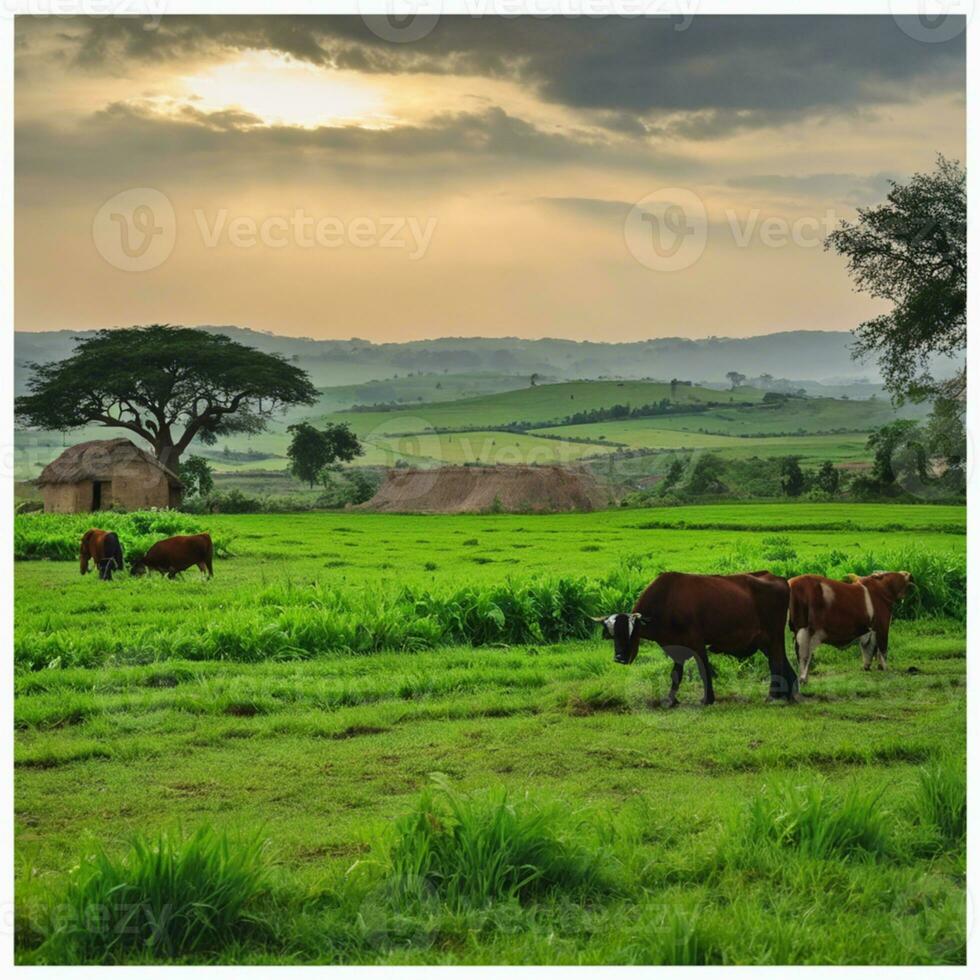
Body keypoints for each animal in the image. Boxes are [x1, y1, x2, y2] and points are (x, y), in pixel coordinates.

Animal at [588, 572, 796, 708]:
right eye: (613, 634)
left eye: (631, 632)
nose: (620, 658)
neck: (666, 602)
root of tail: (779, 579)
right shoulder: (676, 647)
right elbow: (675, 675)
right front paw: (670, 700)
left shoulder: (697, 643)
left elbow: (704, 670)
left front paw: (708, 699)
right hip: (765, 641)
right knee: (783, 664)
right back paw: (790, 694)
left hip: (773, 636)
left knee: (776, 663)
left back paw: (774, 696)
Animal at [784, 572, 916, 684]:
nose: (910, 575)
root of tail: (791, 582)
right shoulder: (882, 626)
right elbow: (882, 651)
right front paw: (885, 669)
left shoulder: (869, 631)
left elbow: (868, 650)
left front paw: (868, 667)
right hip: (804, 631)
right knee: (803, 655)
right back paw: (803, 679)